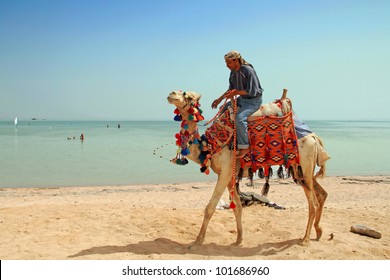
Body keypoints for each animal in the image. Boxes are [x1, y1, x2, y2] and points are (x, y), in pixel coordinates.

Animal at [167, 89, 330, 247]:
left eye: (187, 96)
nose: (171, 94)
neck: (210, 146)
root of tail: (314, 138)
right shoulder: (230, 176)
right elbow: (237, 208)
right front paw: (238, 240)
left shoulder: (225, 172)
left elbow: (210, 207)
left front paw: (197, 242)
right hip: (299, 170)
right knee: (321, 194)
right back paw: (319, 231)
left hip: (305, 165)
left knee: (313, 203)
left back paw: (305, 239)